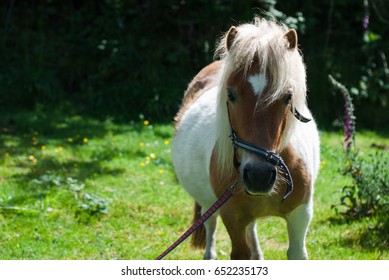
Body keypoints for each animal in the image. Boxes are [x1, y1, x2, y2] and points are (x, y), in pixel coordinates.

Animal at [172, 18, 318, 260]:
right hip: (208, 203)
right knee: (210, 226)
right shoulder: (232, 216)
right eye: (230, 94)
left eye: (287, 96)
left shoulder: (300, 215)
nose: (259, 175)